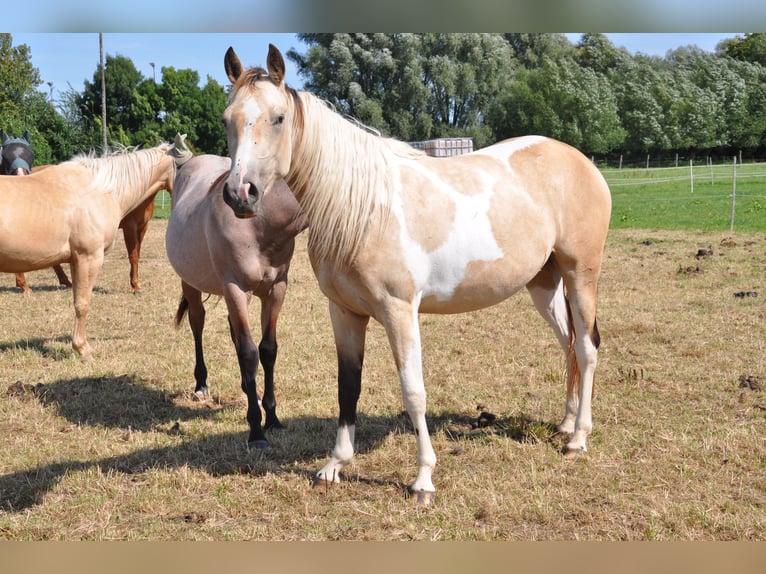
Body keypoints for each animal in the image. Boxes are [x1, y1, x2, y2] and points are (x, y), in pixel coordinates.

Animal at [165, 133, 307, 449]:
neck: (260, 225)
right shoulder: (236, 289)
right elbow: (248, 352)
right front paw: (256, 430)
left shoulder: (276, 289)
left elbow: (268, 349)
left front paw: (272, 417)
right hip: (191, 283)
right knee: (198, 323)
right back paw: (202, 384)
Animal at [221, 45, 612, 504]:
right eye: (227, 119)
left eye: (279, 118)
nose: (239, 194)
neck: (364, 208)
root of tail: (582, 161)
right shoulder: (345, 312)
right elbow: (347, 387)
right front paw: (334, 466)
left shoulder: (400, 311)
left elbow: (413, 391)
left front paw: (423, 478)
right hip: (545, 283)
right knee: (568, 344)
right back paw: (566, 424)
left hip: (581, 274)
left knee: (586, 348)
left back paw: (578, 438)